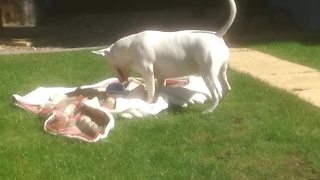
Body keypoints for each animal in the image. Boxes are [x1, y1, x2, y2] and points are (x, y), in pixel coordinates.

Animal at [94, 0, 236, 112]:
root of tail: (217, 35)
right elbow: (159, 87)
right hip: (221, 71)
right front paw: (159, 98)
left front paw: (148, 102)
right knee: (226, 87)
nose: (120, 81)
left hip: (208, 75)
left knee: (217, 93)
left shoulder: (148, 73)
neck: (129, 47)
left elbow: (150, 90)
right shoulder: (160, 76)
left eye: (109, 63)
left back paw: (209, 110)